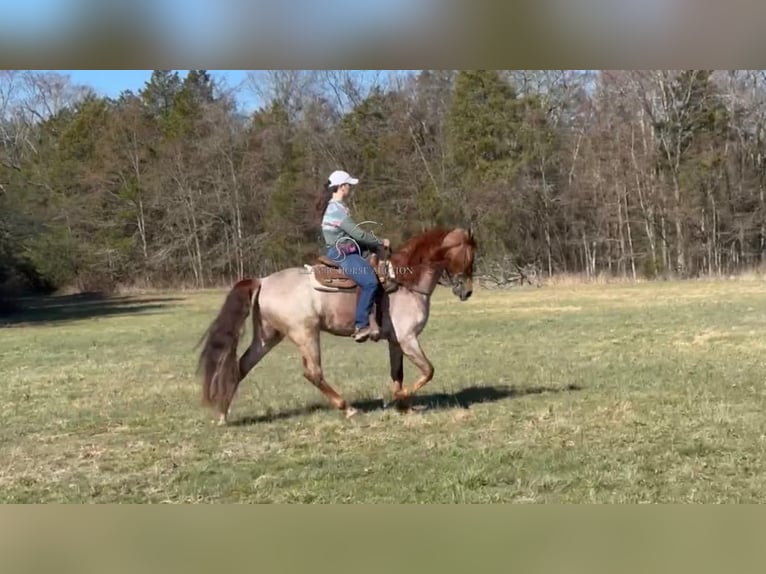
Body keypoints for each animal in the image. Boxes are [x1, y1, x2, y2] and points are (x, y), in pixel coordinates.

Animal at [195, 227, 476, 426]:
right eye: (469, 256)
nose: (467, 292)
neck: (405, 282)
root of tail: (263, 281)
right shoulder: (408, 339)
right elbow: (428, 370)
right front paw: (400, 399)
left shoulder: (397, 342)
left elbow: (398, 373)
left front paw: (403, 405)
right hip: (306, 334)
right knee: (313, 373)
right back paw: (348, 408)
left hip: (268, 336)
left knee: (241, 366)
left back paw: (222, 413)